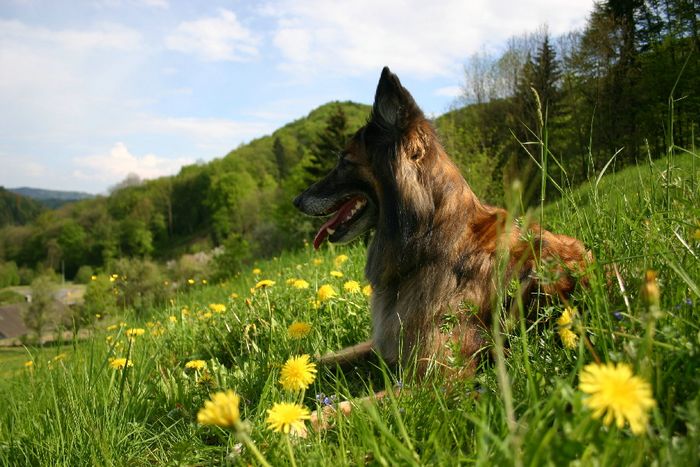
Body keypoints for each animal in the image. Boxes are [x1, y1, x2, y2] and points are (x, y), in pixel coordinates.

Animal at [292, 66, 588, 380]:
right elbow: (331, 356)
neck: (430, 239)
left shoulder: (439, 376)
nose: (296, 201)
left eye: (344, 161)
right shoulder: (388, 339)